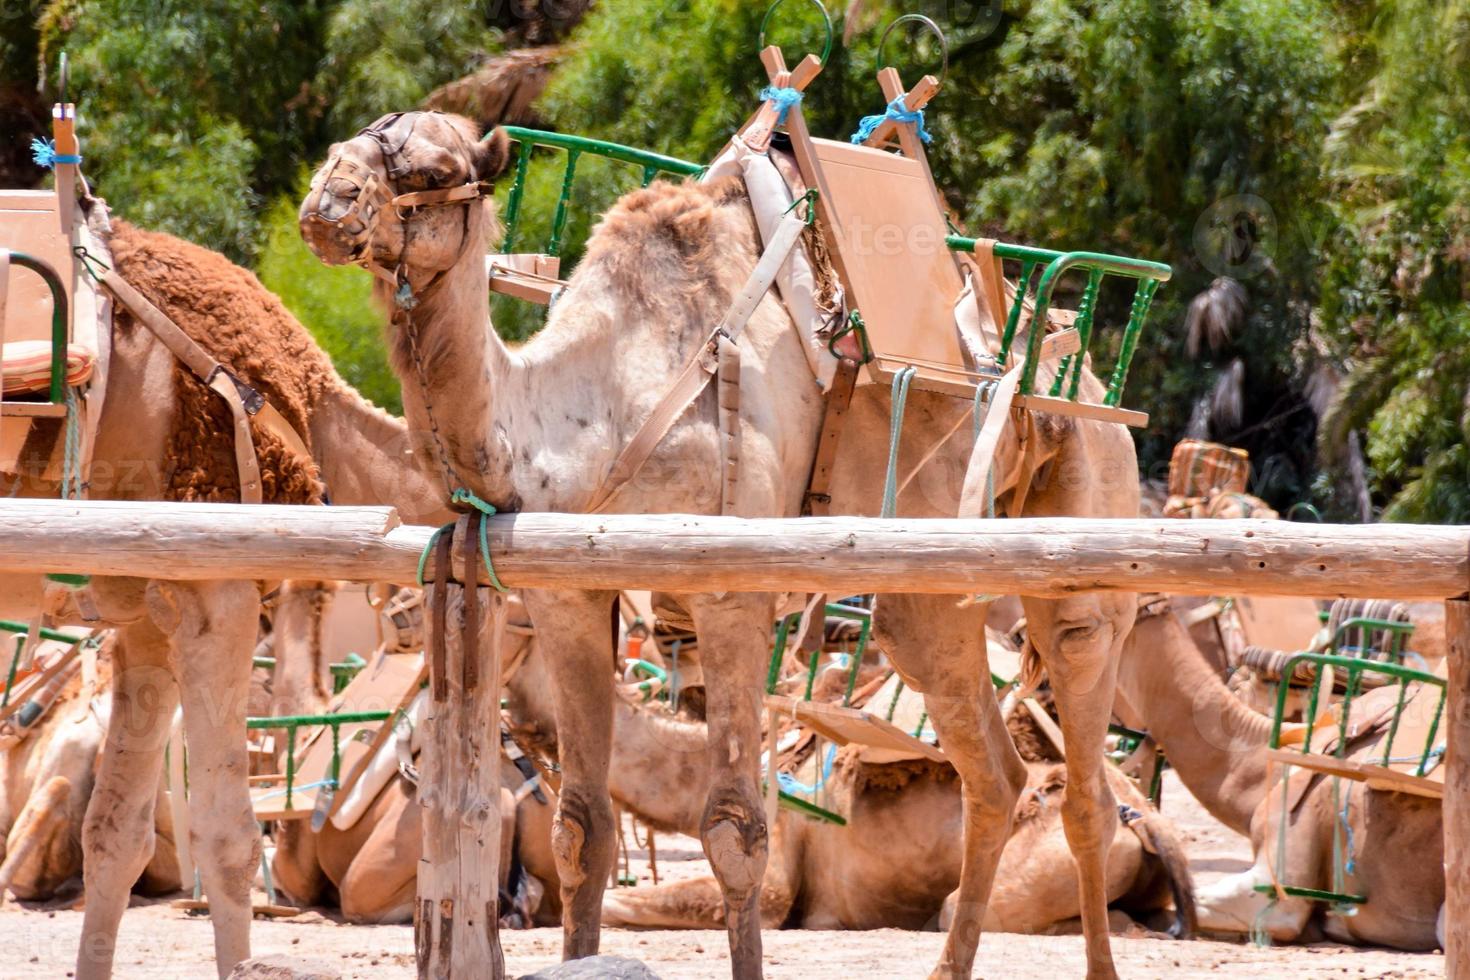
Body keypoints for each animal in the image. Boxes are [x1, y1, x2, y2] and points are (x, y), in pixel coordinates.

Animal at [301, 109, 1146, 980]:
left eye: (433, 171)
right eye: (346, 145)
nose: (327, 203)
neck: (600, 409)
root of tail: (1073, 365)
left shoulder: (732, 592)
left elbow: (735, 832)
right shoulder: (570, 598)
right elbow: (581, 829)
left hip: (1082, 533)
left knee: (1082, 769)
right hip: (926, 596)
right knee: (995, 775)